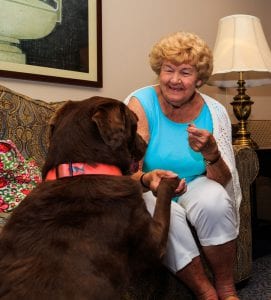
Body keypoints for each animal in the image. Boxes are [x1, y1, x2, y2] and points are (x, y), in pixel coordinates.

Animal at [0, 97, 180, 298]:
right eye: (135, 122)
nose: (146, 143)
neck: (81, 169)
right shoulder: (155, 242)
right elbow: (163, 201)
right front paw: (169, 180)